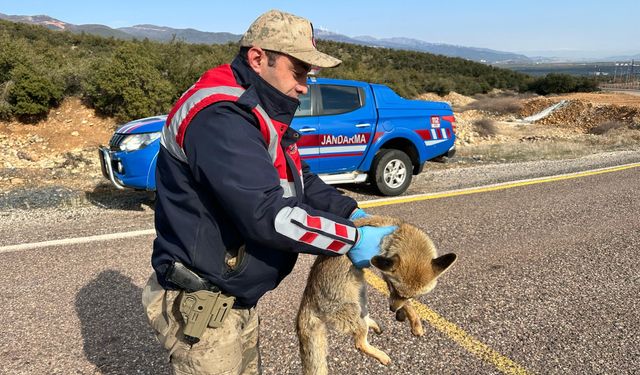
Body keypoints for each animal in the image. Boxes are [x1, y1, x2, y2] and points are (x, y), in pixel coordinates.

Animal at [296, 214, 456, 375]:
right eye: (393, 288)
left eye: (411, 296)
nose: (392, 310)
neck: (393, 234)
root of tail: (308, 299)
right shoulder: (384, 273)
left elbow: (408, 306)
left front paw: (414, 322)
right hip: (354, 310)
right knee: (359, 344)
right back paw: (381, 355)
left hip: (361, 299)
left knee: (364, 321)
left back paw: (374, 325)